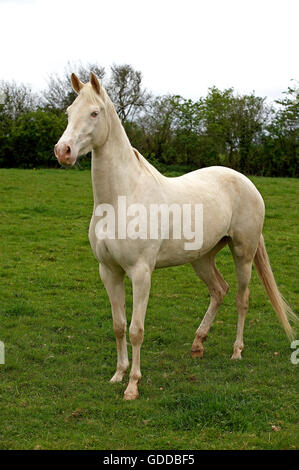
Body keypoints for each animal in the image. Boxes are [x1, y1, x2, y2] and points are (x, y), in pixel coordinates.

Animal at [55, 73, 296, 400]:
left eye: (94, 112)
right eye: (69, 112)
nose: (63, 151)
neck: (121, 198)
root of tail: (246, 182)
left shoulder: (141, 273)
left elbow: (136, 329)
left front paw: (133, 386)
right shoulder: (109, 271)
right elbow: (118, 326)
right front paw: (118, 375)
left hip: (243, 253)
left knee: (241, 299)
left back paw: (236, 351)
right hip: (202, 258)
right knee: (219, 290)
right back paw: (197, 344)